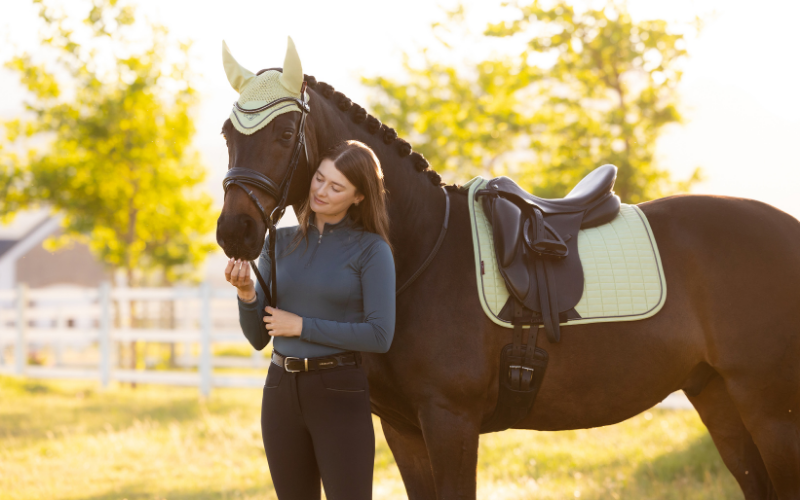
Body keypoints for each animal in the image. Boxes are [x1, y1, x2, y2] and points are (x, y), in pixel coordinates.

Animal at [215, 40, 800, 500]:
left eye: (285, 136)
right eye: (228, 134)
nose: (234, 231)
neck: (419, 252)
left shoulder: (450, 423)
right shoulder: (405, 431)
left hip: (771, 412)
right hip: (719, 397)